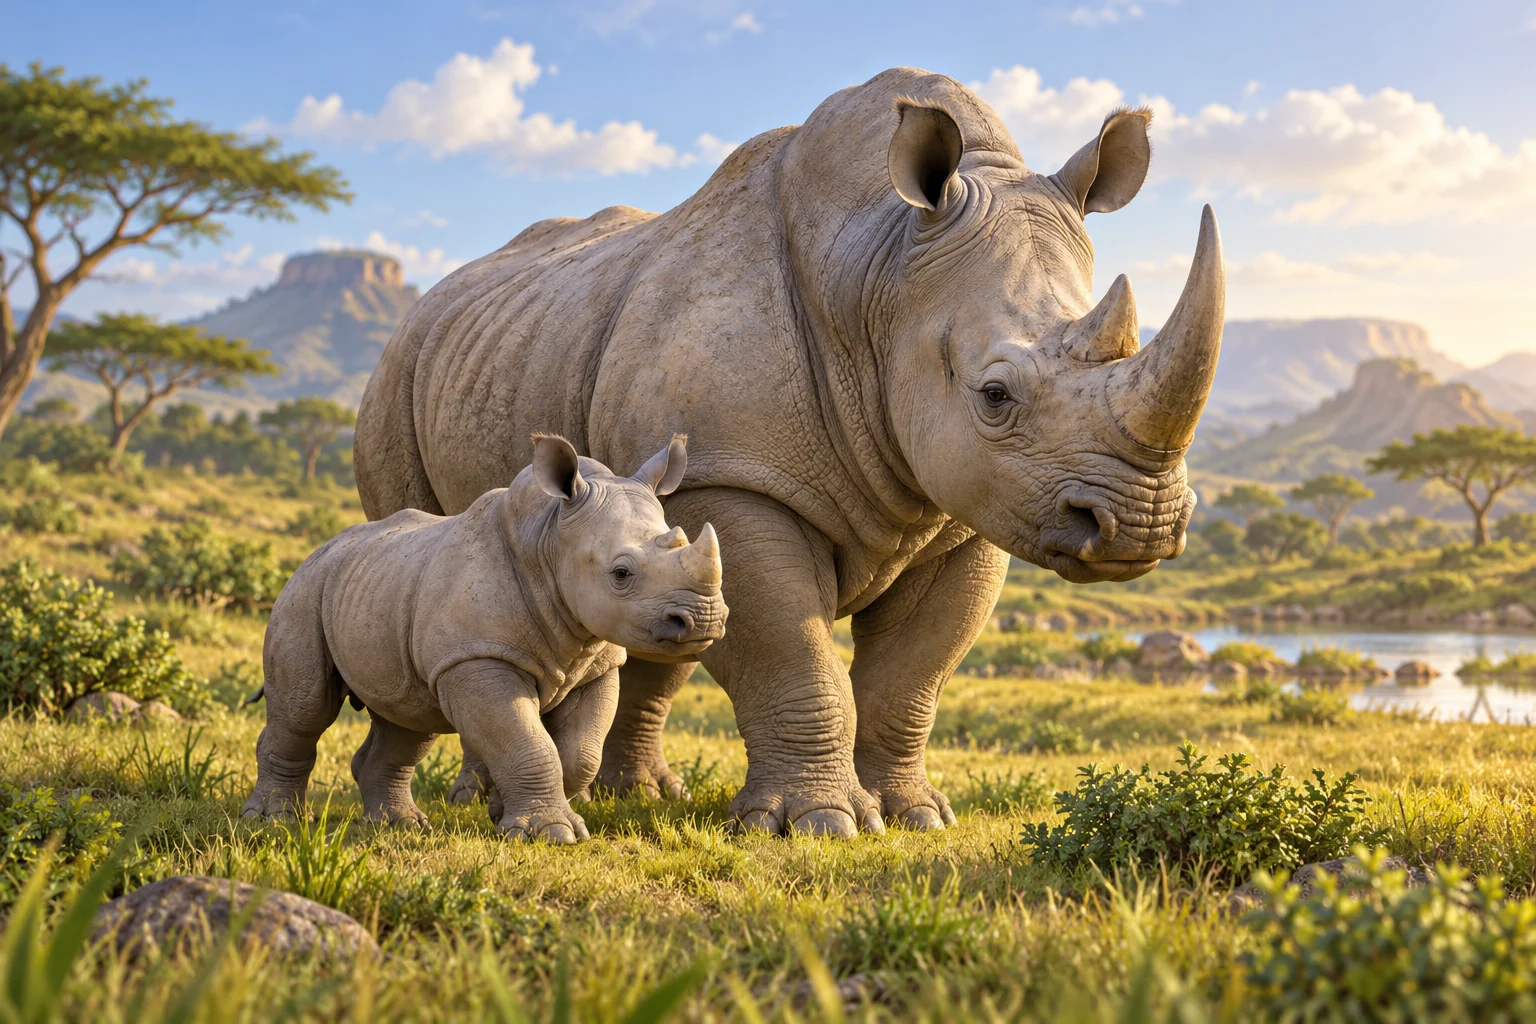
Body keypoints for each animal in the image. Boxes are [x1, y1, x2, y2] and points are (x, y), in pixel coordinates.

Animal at [244, 435, 727, 842]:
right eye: (621, 573)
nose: (704, 620)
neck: (549, 538)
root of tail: (321, 549)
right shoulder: (477, 656)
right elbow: (525, 740)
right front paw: (550, 835)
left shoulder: (597, 664)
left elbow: (579, 753)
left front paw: (501, 810)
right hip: (306, 591)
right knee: (306, 706)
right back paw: (275, 823)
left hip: (380, 587)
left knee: (409, 719)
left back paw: (400, 825)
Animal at [355, 66, 1223, 837]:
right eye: (995, 394)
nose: (1141, 526)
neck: (880, 270)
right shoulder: (730, 476)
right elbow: (791, 654)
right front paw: (818, 824)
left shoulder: (969, 507)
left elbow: (913, 675)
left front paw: (913, 816)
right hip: (397, 374)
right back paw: (483, 800)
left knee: (663, 621)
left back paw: (639, 797)